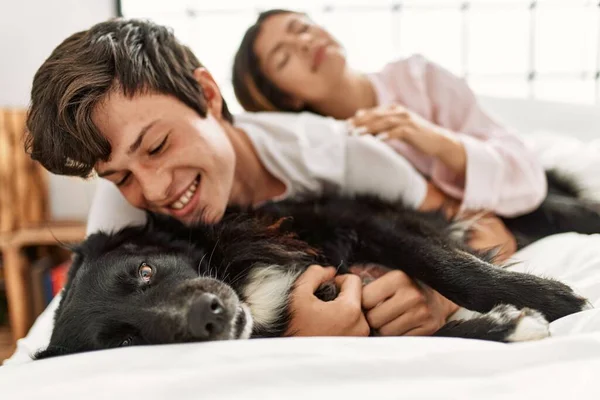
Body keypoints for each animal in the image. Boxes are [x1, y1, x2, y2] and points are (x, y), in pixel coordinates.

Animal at [34, 194, 592, 360]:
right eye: (126, 342)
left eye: (145, 271)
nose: (207, 317)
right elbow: (422, 332)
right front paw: (509, 324)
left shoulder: (358, 219)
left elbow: (447, 268)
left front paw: (550, 298)